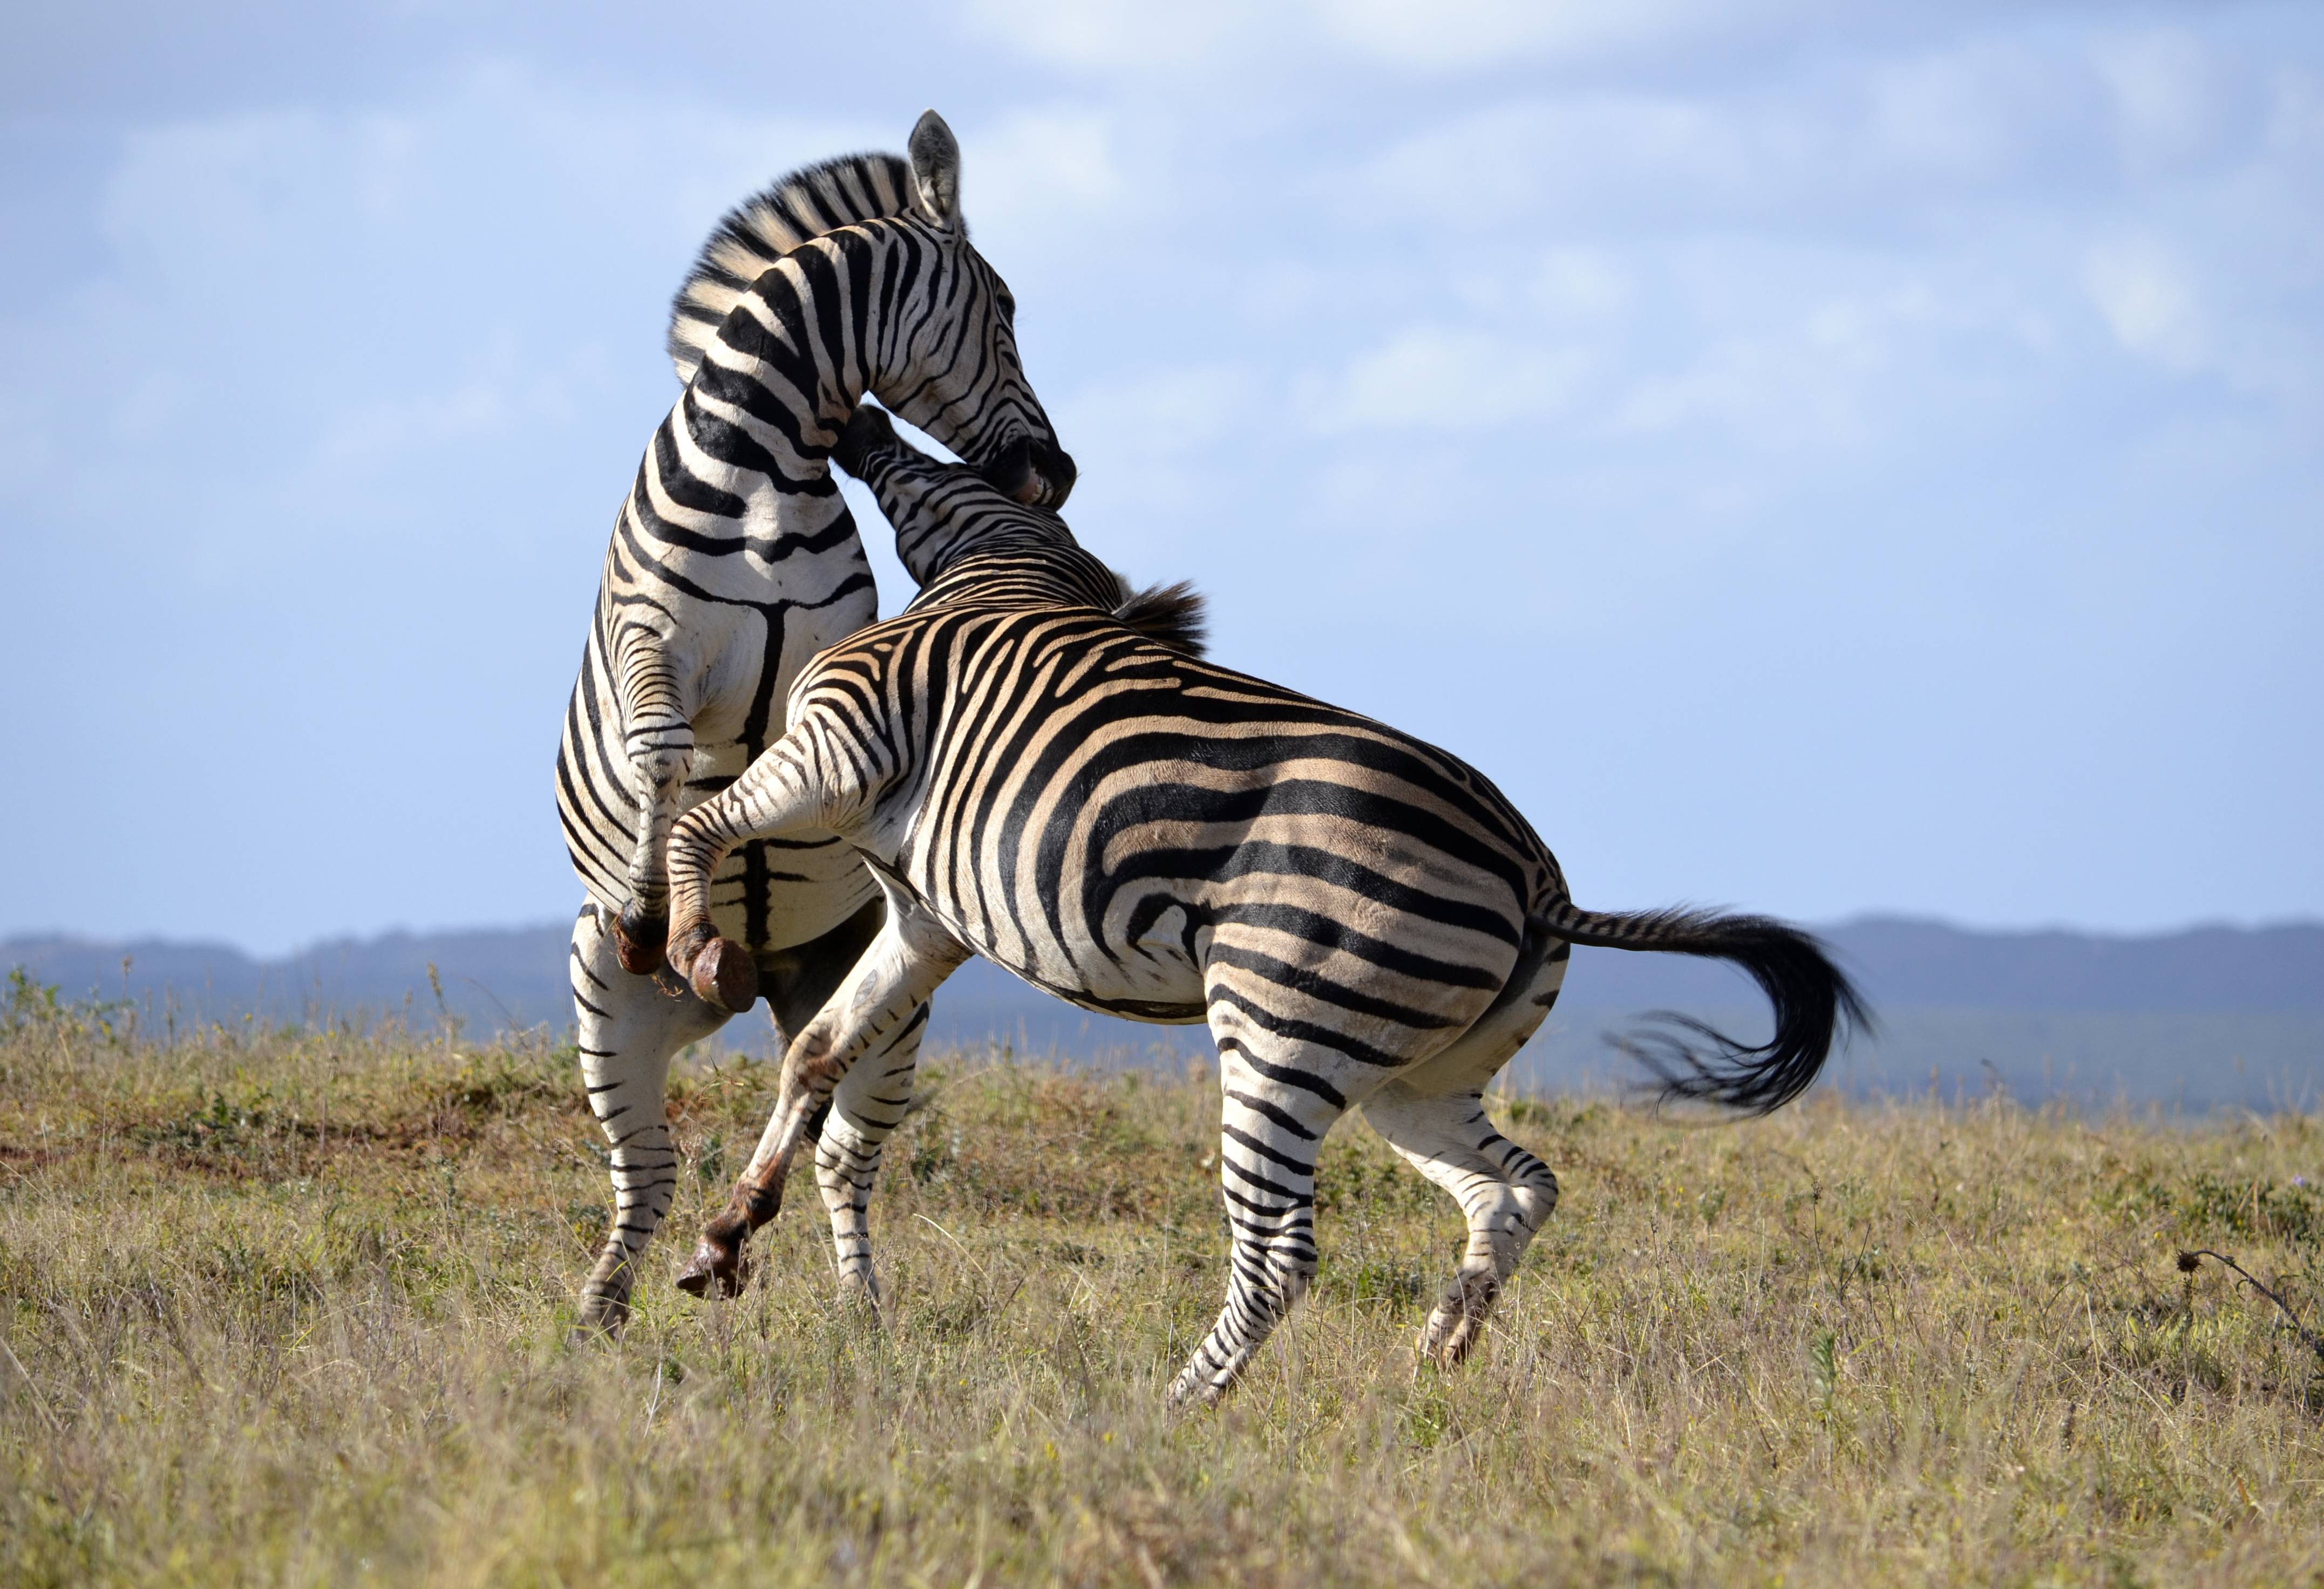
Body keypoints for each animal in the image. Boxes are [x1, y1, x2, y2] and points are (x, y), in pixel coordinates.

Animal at [556, 113, 1076, 1332]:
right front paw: (659, 912)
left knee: (840, 1147)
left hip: (870, 985)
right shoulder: (651, 635)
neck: (763, 475)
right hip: (605, 996)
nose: (1062, 473)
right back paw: (602, 1306)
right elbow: (659, 752)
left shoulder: (833, 649)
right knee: (646, 1165)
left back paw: (859, 1312)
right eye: (1006, 308)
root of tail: (754, 987)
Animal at [658, 406, 1867, 1407]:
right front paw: (729, 1236)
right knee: (1515, 1189)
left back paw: (1176, 1408)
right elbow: (816, 1054)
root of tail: (1539, 879)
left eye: (935, 453)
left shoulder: (837, 744)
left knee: (1283, 1253)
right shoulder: (926, 919)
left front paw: (695, 947)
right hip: (1416, 1074)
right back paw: (1434, 1358)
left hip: (1285, 1029)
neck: (1003, 574)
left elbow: (698, 828)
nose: (856, 416)